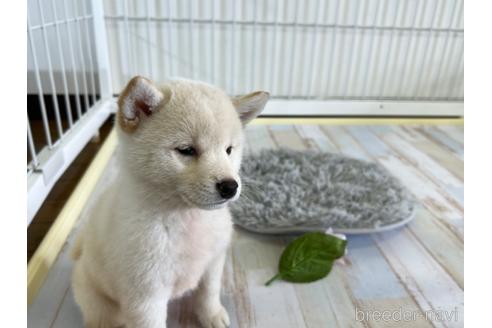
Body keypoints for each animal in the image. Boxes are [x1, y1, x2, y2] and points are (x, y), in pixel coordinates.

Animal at [71, 75, 270, 326]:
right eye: (186, 150)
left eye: (228, 150)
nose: (230, 186)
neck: (187, 218)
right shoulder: (146, 295)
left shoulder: (213, 263)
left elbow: (209, 293)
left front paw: (212, 315)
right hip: (100, 302)